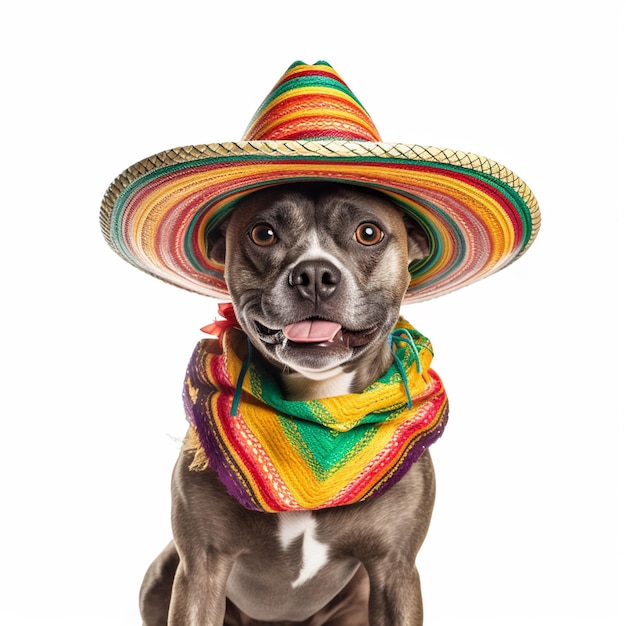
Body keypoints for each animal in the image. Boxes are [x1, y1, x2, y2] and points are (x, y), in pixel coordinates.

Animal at [138, 183, 438, 620]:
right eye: (263, 234)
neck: (318, 407)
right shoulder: (201, 568)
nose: (314, 274)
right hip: (162, 573)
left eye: (368, 233)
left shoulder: (395, 570)